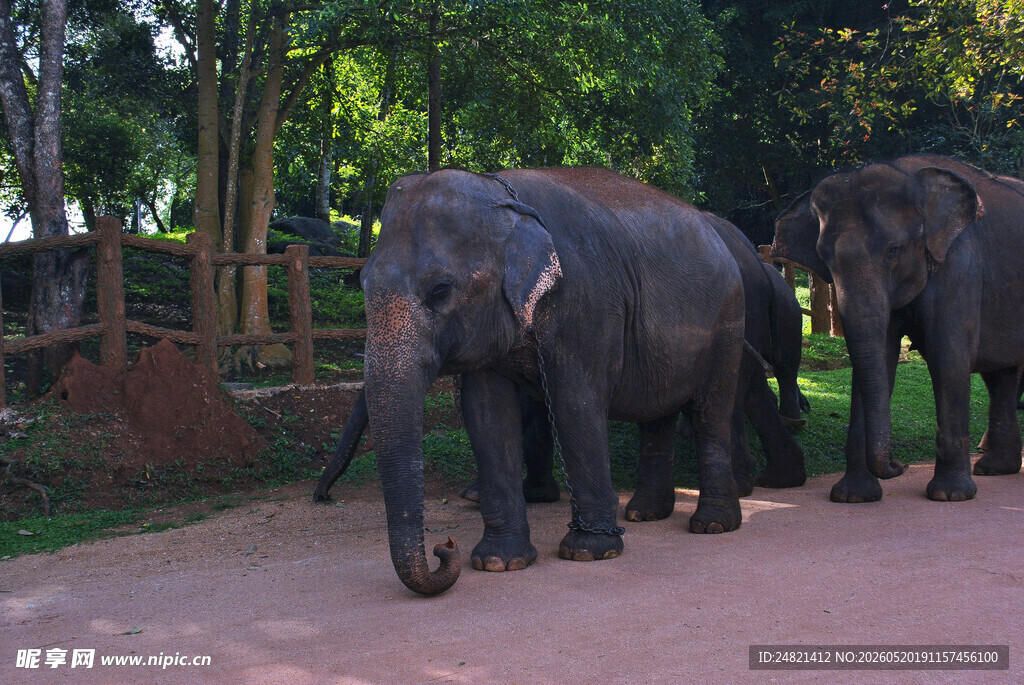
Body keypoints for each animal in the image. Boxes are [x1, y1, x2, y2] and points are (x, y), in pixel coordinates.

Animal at [352, 167, 747, 595]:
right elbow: (487, 417)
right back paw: (644, 515)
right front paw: (499, 563)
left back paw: (711, 525)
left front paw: (590, 552)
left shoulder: (586, 301)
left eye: (440, 290)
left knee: (711, 414)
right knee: (656, 415)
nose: (444, 547)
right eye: (362, 283)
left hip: (728, 323)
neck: (505, 197)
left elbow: (574, 402)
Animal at [772, 154, 1024, 503]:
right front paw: (854, 497)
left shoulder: (959, 264)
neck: (907, 174)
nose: (899, 465)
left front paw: (949, 496)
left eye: (894, 250)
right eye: (824, 257)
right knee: (1001, 375)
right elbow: (879, 355)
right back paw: (995, 468)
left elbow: (948, 358)